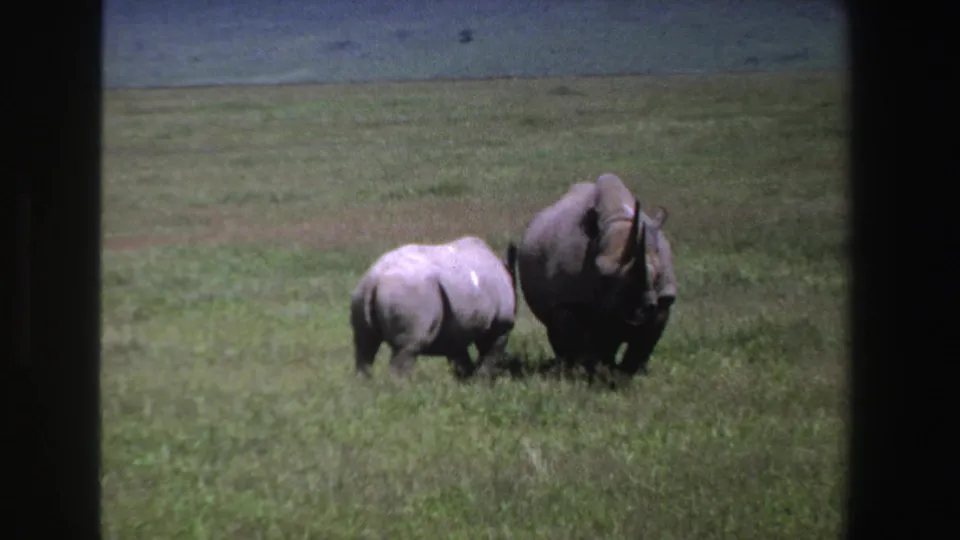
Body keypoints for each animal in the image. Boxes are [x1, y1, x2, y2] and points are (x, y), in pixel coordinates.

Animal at [349, 236, 519, 381]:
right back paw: (402, 392)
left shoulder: (456, 329)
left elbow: (461, 359)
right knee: (408, 347)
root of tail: (375, 278)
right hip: (410, 292)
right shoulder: (502, 325)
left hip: (361, 293)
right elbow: (489, 355)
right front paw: (481, 384)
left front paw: (466, 383)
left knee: (365, 346)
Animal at [517, 173, 676, 377]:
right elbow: (577, 337)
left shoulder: (663, 299)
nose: (637, 313)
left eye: (656, 275)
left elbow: (642, 346)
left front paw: (629, 375)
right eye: (602, 276)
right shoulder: (568, 299)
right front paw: (582, 372)